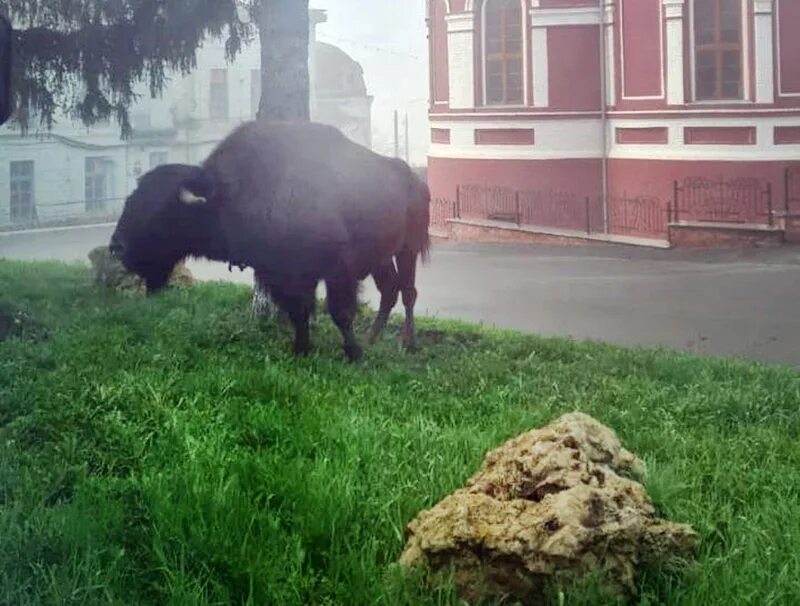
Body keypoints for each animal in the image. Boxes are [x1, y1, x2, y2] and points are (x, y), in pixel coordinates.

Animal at [108, 121, 432, 364]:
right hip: (381, 258)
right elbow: (299, 313)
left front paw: (353, 353)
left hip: (408, 249)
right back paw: (374, 337)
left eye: (162, 209)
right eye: (132, 198)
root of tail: (416, 180)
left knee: (408, 292)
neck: (230, 193)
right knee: (390, 290)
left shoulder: (337, 272)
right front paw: (301, 349)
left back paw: (409, 343)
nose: (116, 247)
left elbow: (340, 312)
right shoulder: (283, 275)